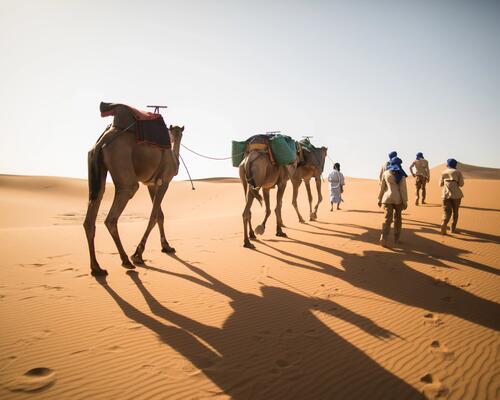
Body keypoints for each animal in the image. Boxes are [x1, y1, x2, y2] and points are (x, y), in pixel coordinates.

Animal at [83, 104, 185, 276]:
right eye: (174, 131)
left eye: (179, 132)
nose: (176, 134)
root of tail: (102, 141)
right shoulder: (164, 182)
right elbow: (153, 217)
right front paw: (138, 253)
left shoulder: (151, 184)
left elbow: (160, 216)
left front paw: (166, 246)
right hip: (122, 165)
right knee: (113, 215)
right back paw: (126, 260)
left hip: (95, 165)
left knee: (92, 210)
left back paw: (97, 268)